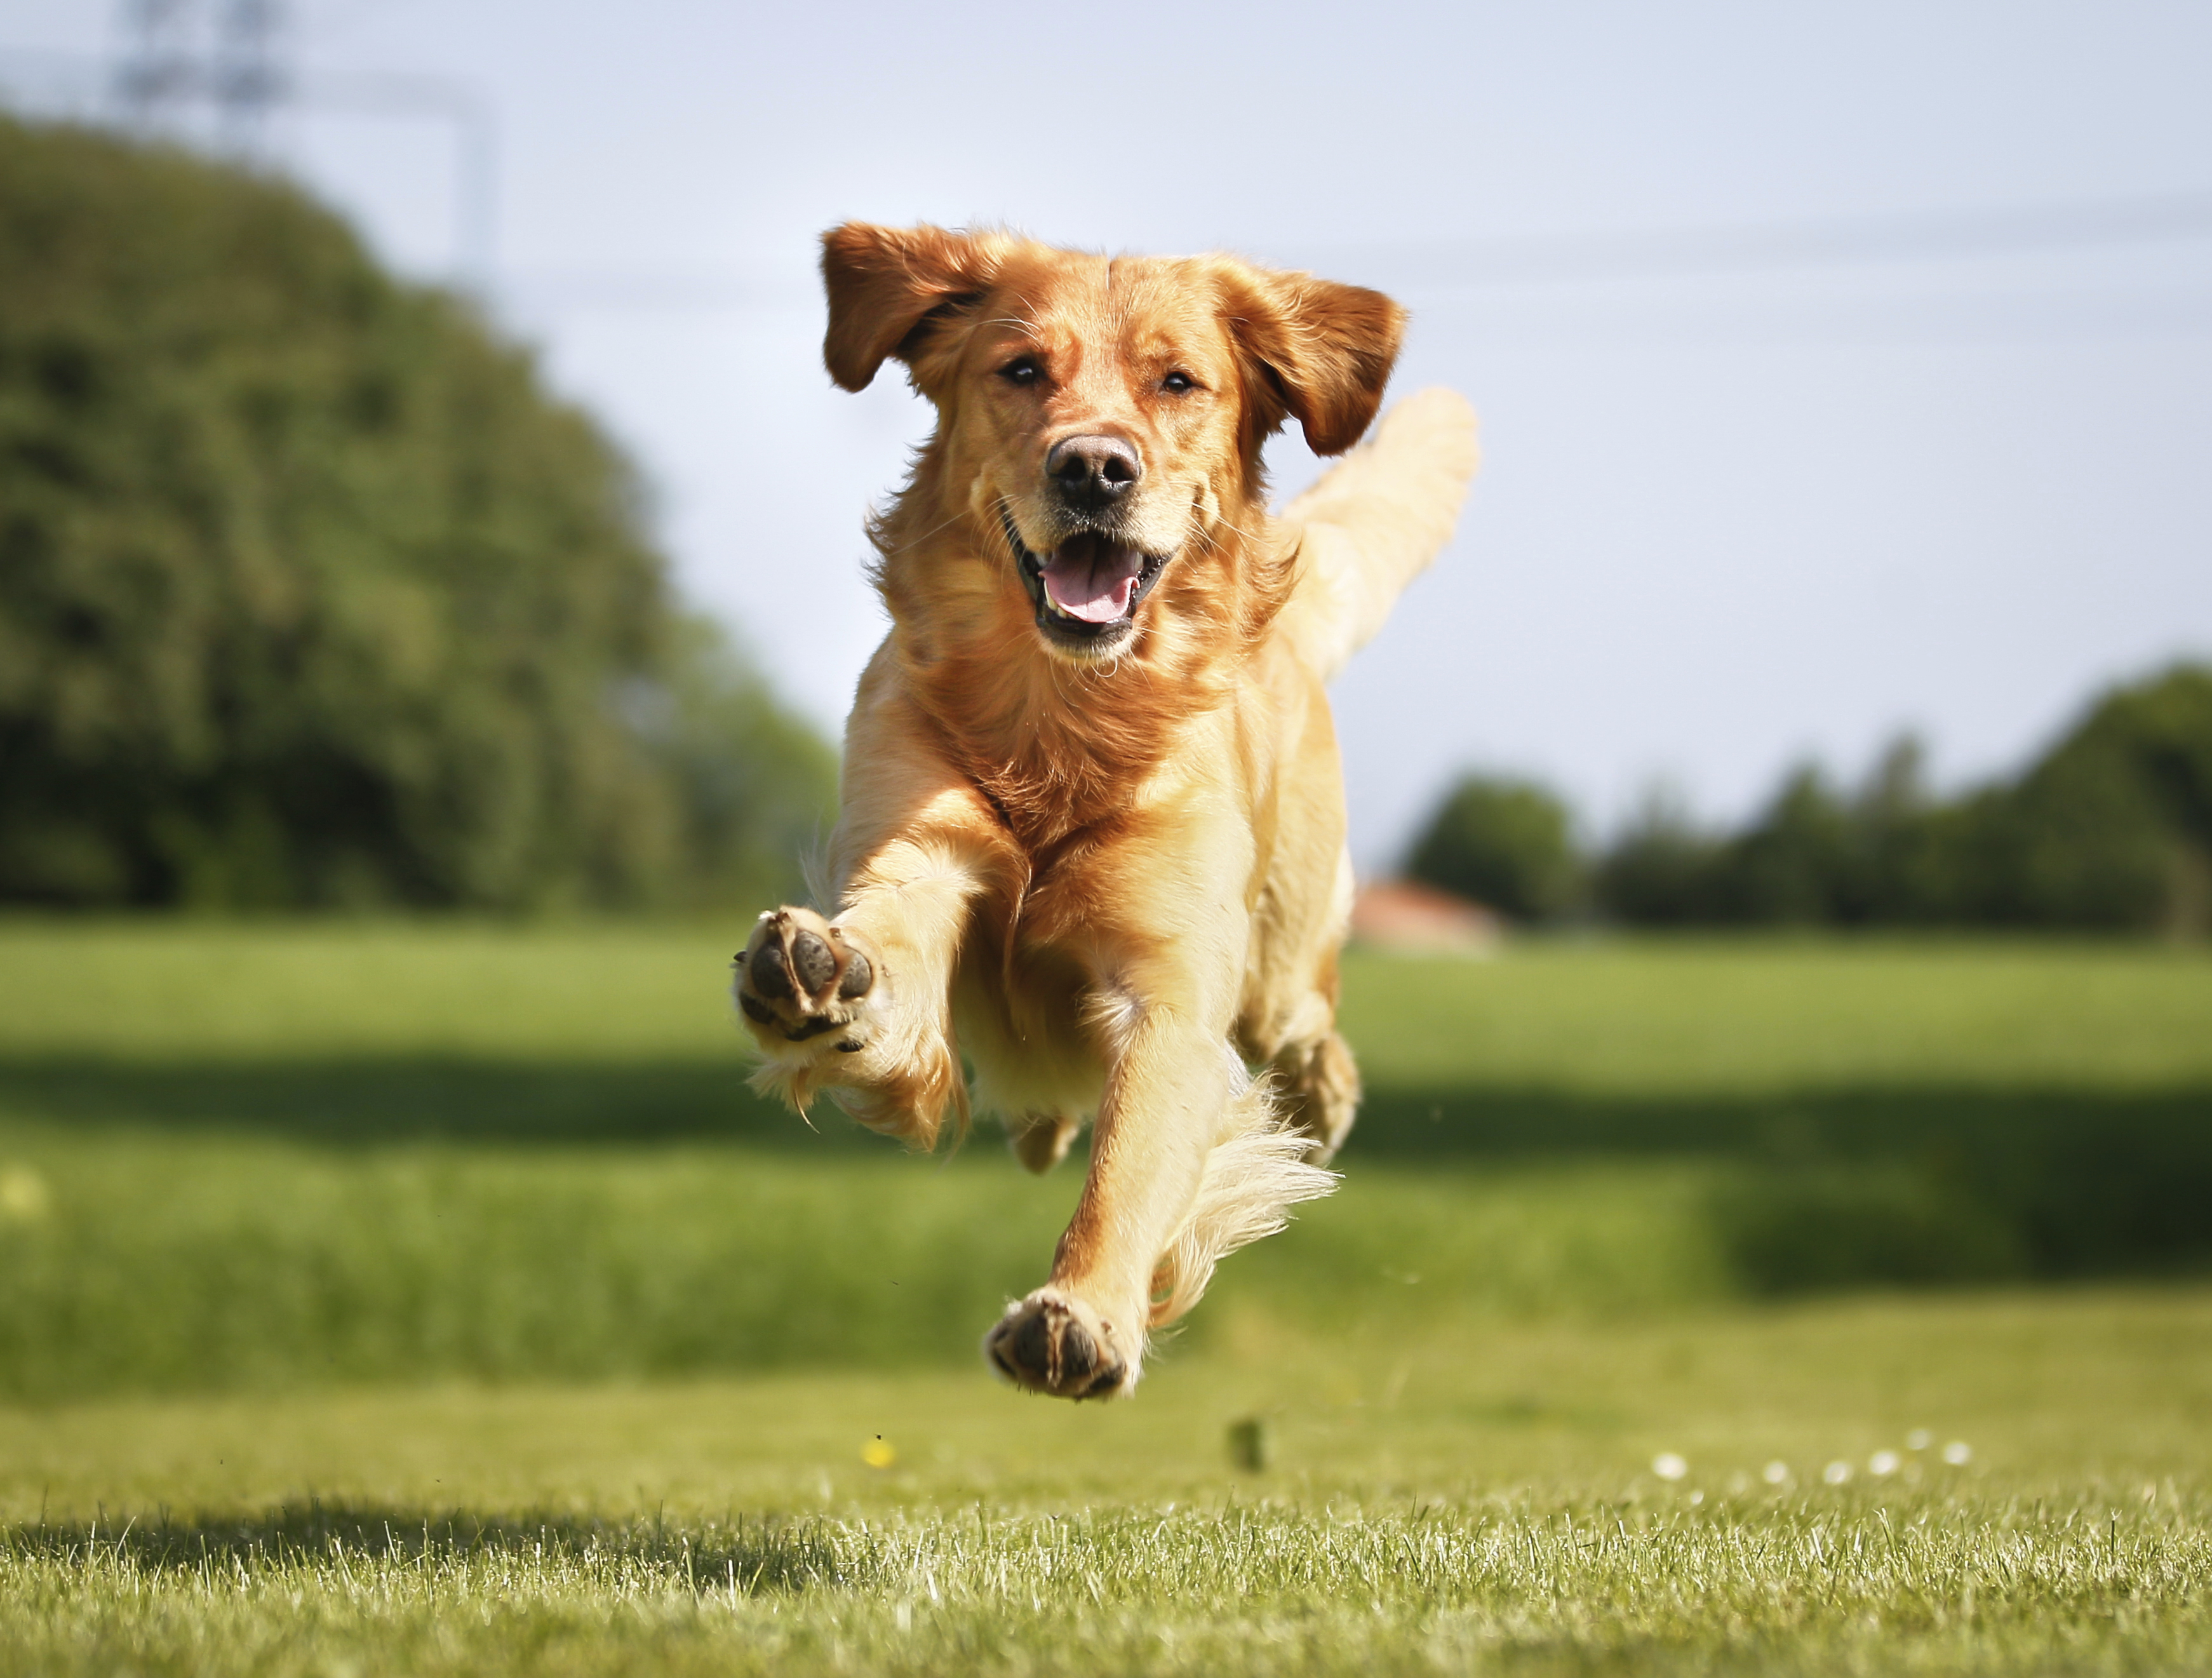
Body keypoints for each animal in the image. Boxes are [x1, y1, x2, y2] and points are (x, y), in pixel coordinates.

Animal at [734, 226, 1477, 1406]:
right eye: (1020, 370)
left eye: (1178, 382)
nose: (1091, 467)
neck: (1064, 718)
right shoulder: (923, 846)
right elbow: (891, 931)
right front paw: (820, 974)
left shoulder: (1171, 989)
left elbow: (1129, 1169)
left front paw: (1079, 1310)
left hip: (1279, 957)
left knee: (1308, 1016)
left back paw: (1322, 1095)